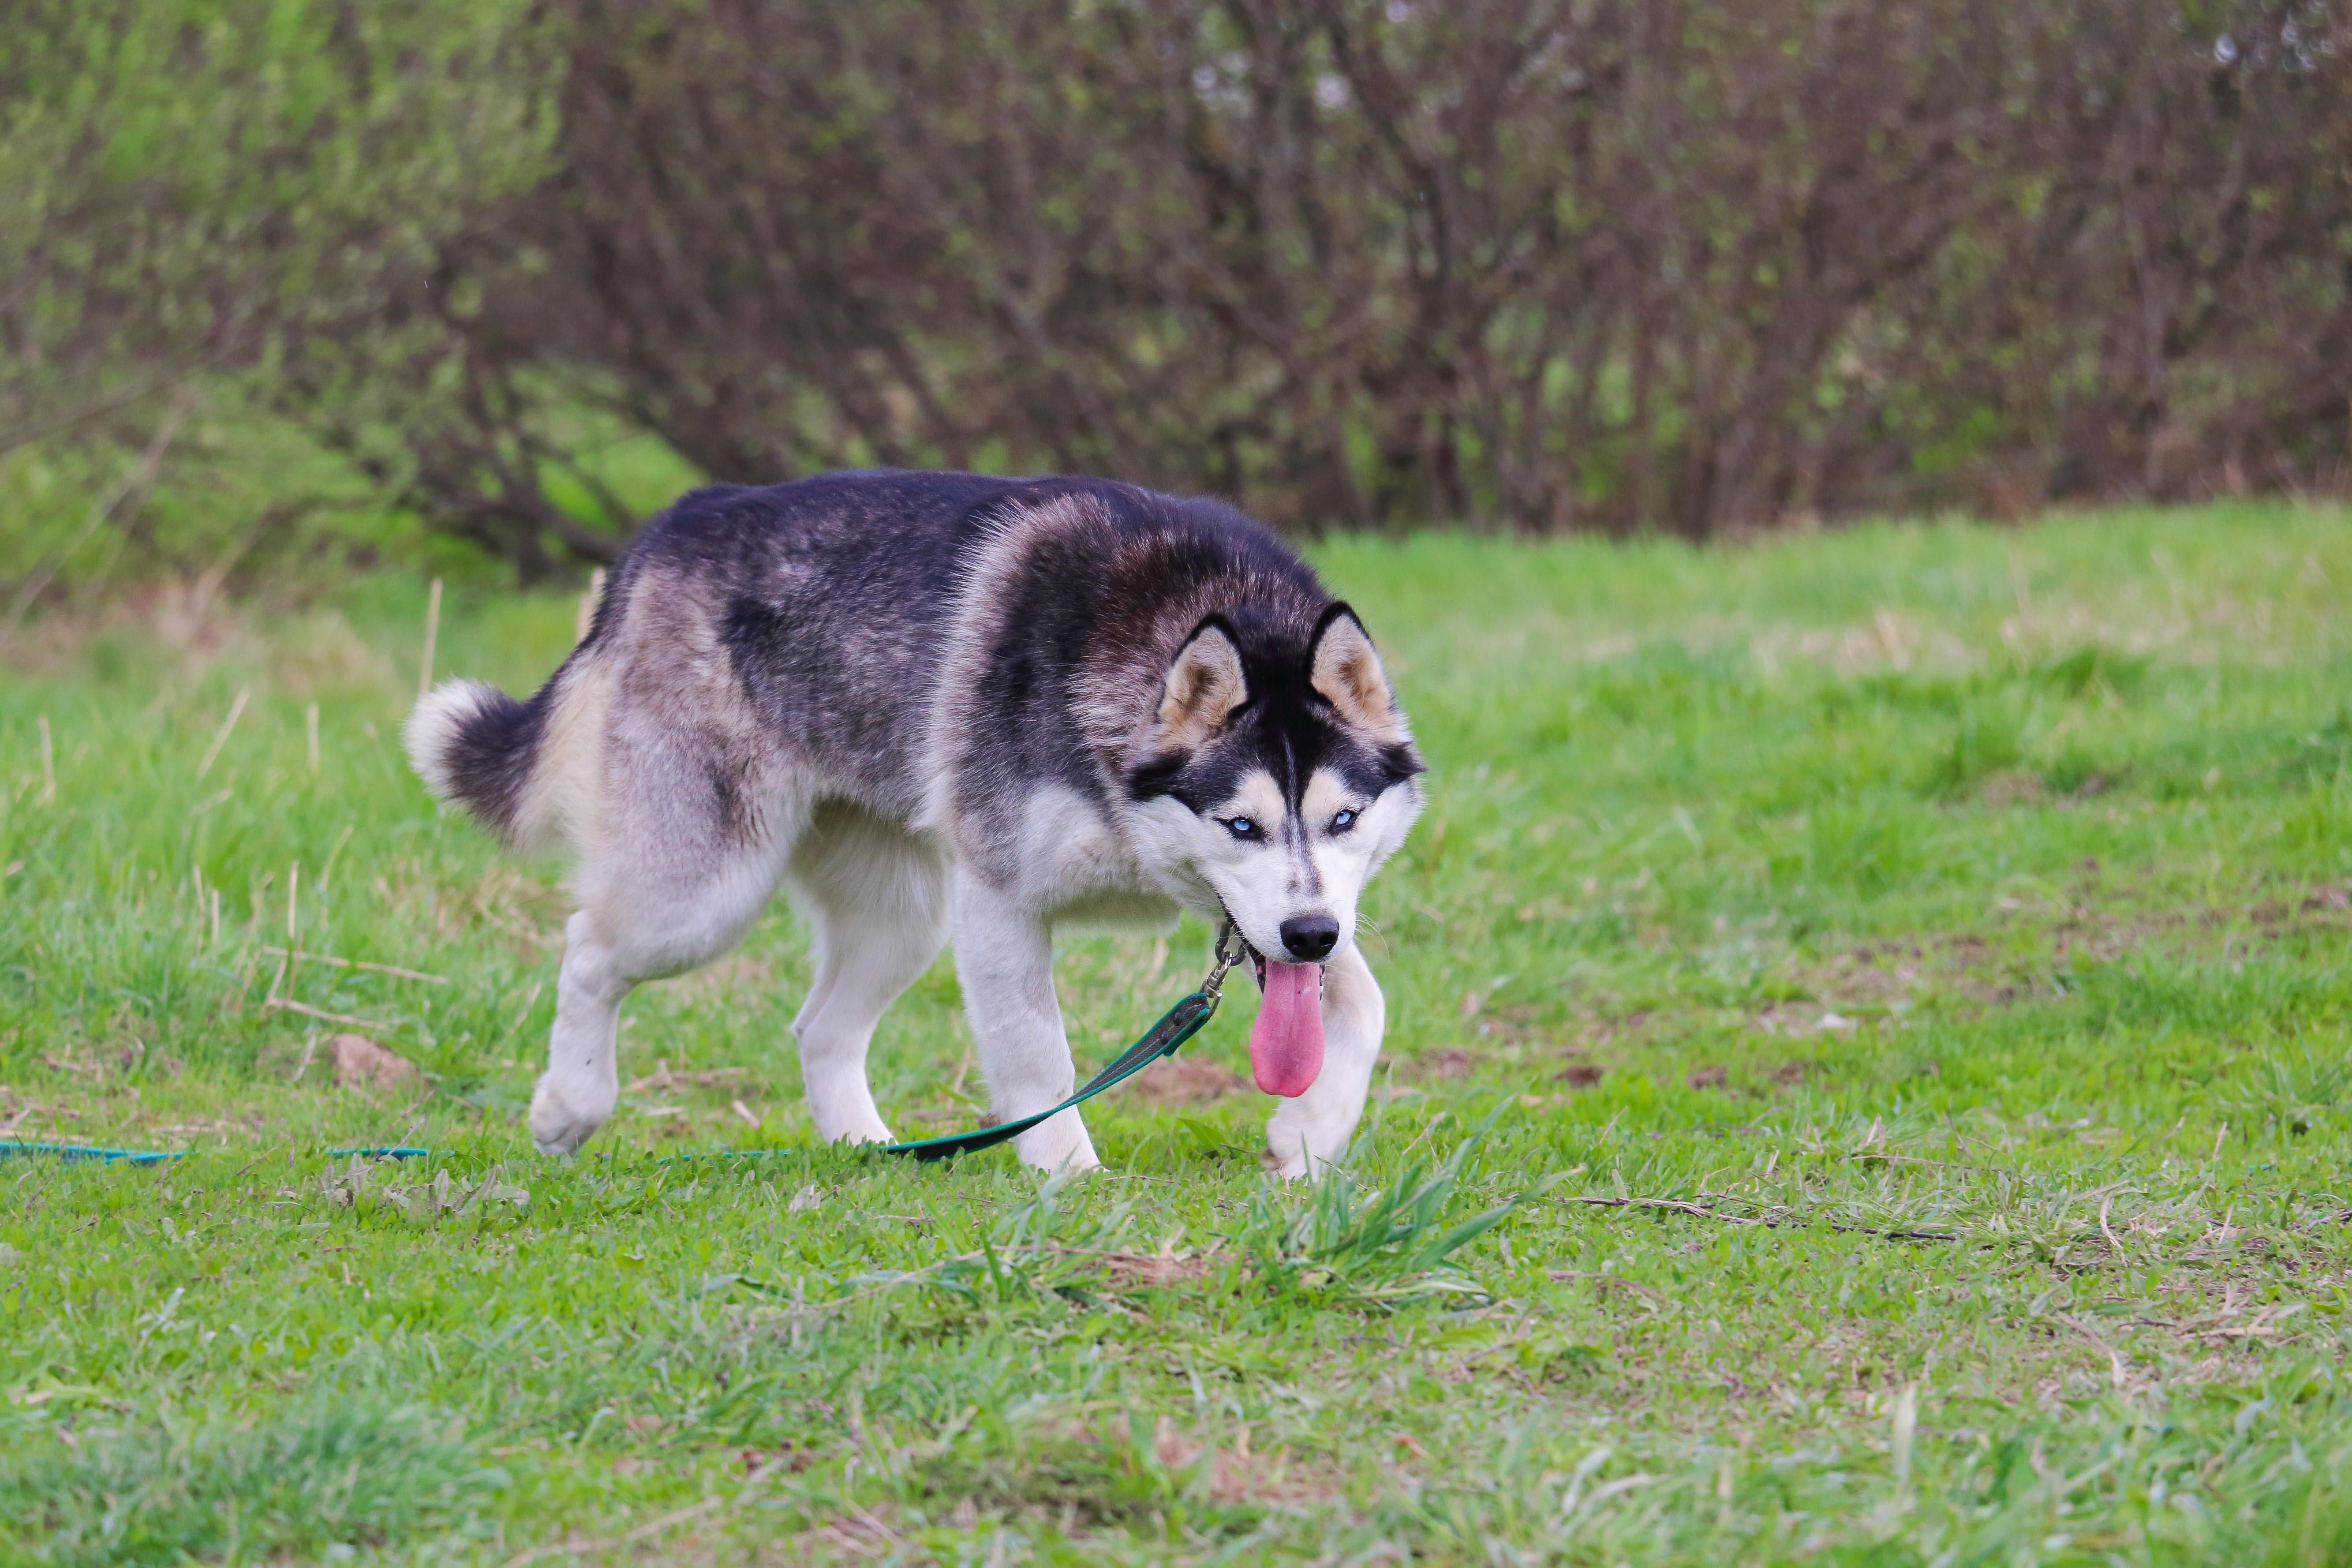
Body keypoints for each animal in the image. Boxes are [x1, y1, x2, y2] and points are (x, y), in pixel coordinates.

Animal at [409, 472, 1411, 1171]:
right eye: (1238, 825)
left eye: (1343, 818)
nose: (1311, 934)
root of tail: (677, 518)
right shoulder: (998, 901)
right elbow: (1037, 1060)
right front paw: (1071, 1183)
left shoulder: (1284, 922)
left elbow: (1365, 1008)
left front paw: (1308, 1136)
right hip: (705, 897)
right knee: (589, 948)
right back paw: (568, 1106)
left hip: (902, 917)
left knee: (819, 1028)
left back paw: (868, 1148)